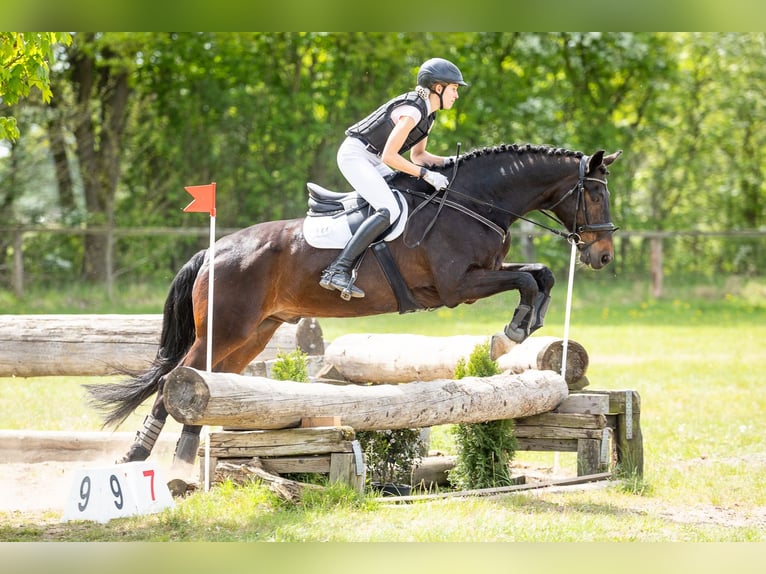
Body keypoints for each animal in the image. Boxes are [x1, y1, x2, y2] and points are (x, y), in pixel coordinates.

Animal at [85, 143, 621, 483]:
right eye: (595, 194)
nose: (602, 257)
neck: (473, 203)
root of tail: (213, 252)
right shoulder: (458, 286)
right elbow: (529, 278)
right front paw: (514, 328)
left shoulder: (484, 273)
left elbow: (540, 273)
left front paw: (529, 323)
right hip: (224, 328)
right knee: (172, 380)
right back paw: (139, 460)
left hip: (252, 335)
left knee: (202, 384)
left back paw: (180, 467)